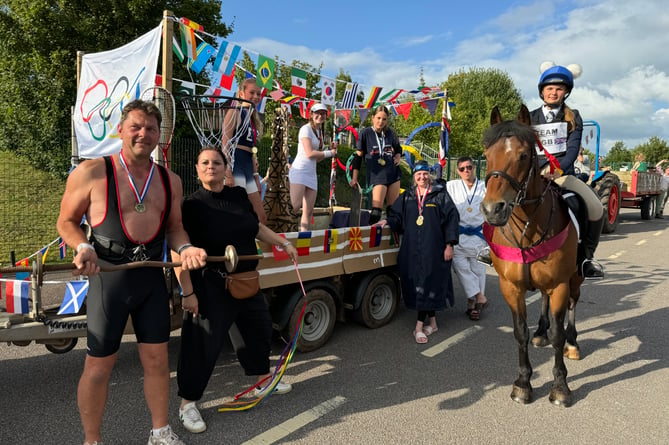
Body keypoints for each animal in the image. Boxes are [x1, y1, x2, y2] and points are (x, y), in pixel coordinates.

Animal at [480, 105, 584, 406]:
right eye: (486, 155)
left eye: (523, 155)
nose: (492, 209)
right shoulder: (511, 287)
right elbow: (520, 332)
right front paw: (523, 383)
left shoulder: (560, 284)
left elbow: (558, 334)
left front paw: (560, 386)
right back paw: (540, 333)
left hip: (575, 279)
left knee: (572, 306)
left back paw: (573, 343)